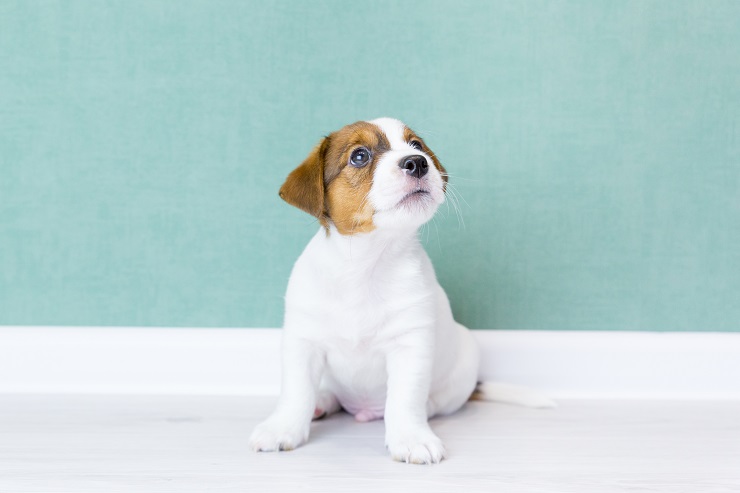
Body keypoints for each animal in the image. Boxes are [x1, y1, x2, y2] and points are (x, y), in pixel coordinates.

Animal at [251, 118, 552, 462]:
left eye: (416, 145)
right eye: (359, 156)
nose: (417, 162)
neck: (366, 263)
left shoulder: (411, 345)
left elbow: (405, 400)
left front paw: (411, 437)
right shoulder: (303, 342)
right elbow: (296, 392)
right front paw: (282, 428)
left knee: (431, 403)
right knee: (329, 394)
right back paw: (321, 403)